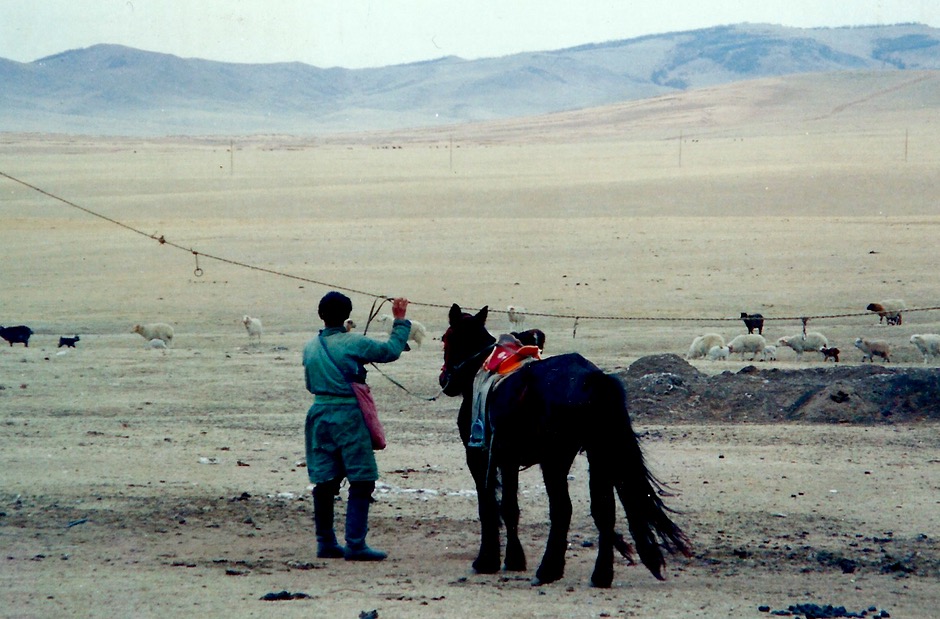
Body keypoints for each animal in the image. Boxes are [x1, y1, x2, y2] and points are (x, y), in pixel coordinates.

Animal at [440, 308, 692, 588]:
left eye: (445, 339)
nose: (444, 379)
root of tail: (593, 378)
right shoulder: (508, 460)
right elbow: (509, 507)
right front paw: (514, 559)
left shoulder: (479, 457)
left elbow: (489, 507)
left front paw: (487, 561)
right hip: (598, 454)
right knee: (604, 509)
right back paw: (601, 575)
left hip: (555, 461)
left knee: (562, 508)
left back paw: (548, 570)